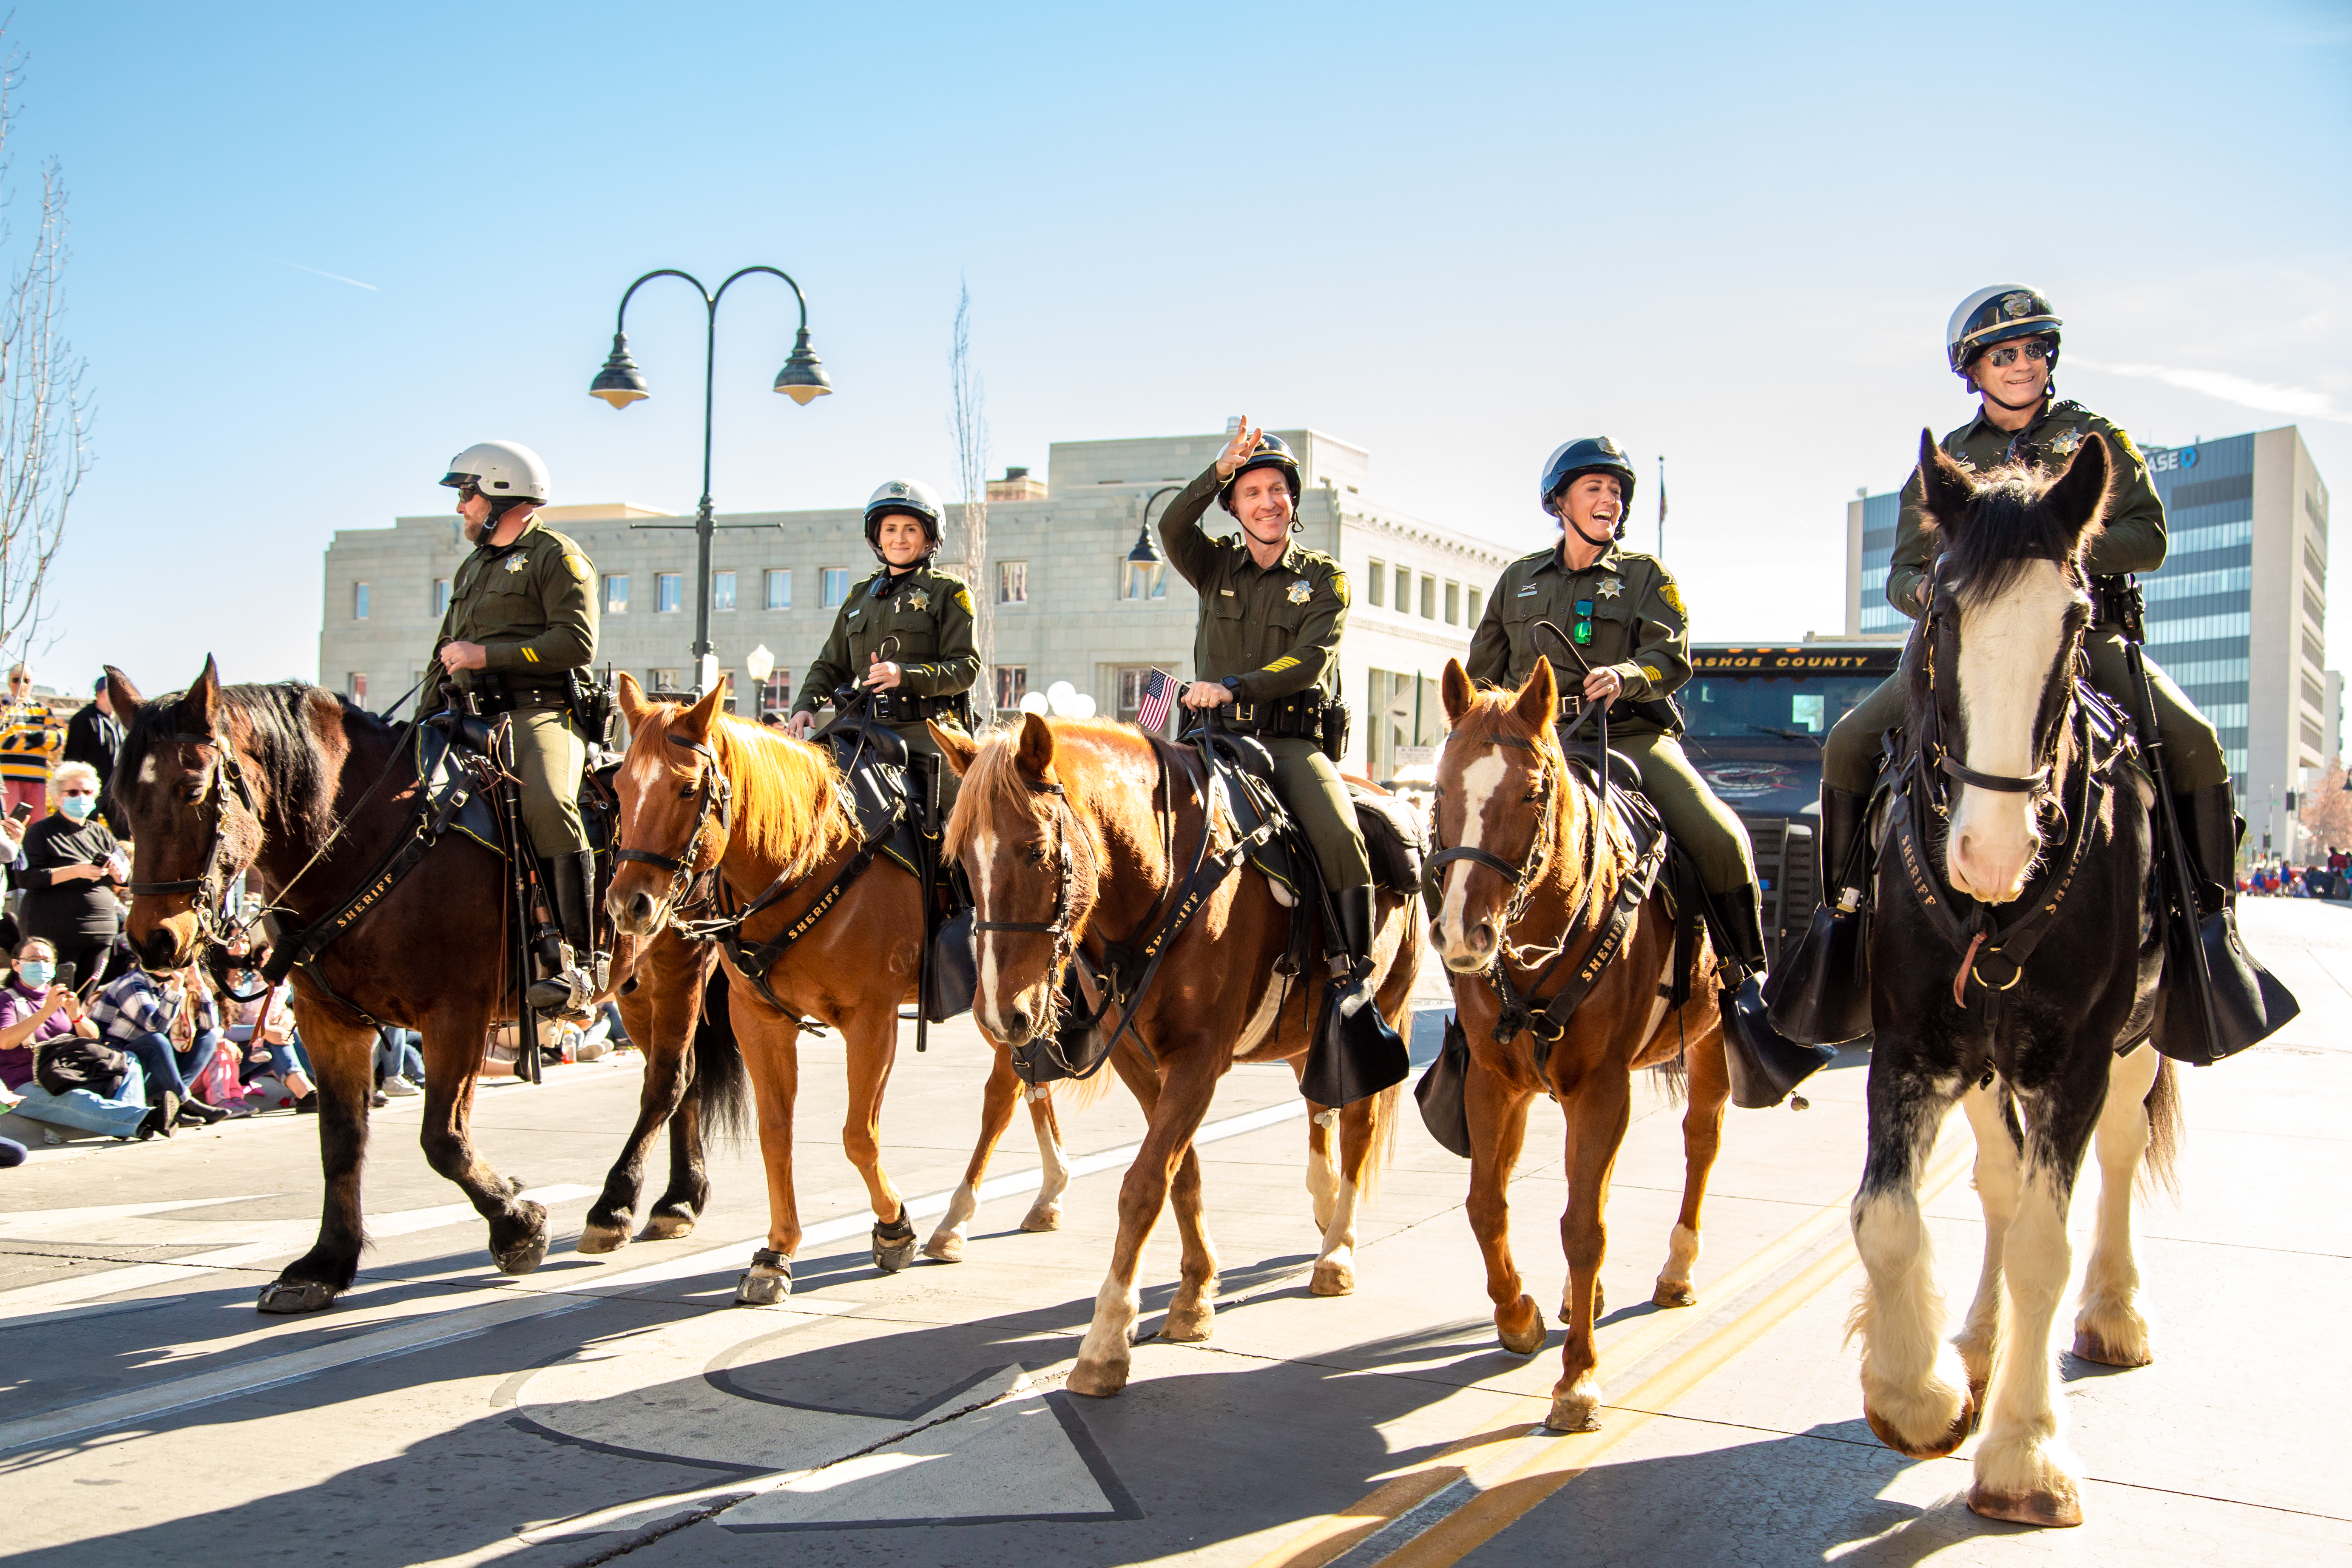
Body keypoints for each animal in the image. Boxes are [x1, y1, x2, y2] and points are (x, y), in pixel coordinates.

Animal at [931, 710, 1411, 1401]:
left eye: (1036, 851)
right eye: (961, 861)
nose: (1000, 1015)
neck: (1165, 880)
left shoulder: (1198, 1058)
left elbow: (1143, 1183)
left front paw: (1107, 1338)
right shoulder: (1139, 1060)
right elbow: (1181, 1172)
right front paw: (1194, 1294)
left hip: (1381, 1011)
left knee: (1358, 1123)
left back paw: (1338, 1252)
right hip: (1304, 1037)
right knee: (1319, 1104)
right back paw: (1324, 1212)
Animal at [1420, 663, 1740, 1438]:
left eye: (1533, 791)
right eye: (1441, 788)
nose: (1463, 934)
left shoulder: (1601, 1087)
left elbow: (1585, 1227)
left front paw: (1578, 1380)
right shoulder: (1495, 1082)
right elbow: (1488, 1204)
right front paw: (1519, 1317)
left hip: (1711, 1043)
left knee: (1700, 1142)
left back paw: (1677, 1270)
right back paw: (1576, 1299)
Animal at [1853, 432, 2182, 1533]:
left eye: (2077, 620)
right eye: (1942, 611)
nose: (1991, 851)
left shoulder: (2077, 1060)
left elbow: (2049, 1239)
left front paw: (2024, 1451)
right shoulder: (1909, 1045)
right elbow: (1887, 1218)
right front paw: (1918, 1396)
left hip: (2136, 1040)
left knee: (2116, 1155)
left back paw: (2115, 1309)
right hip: (1989, 1063)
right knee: (1998, 1179)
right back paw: (1982, 1339)